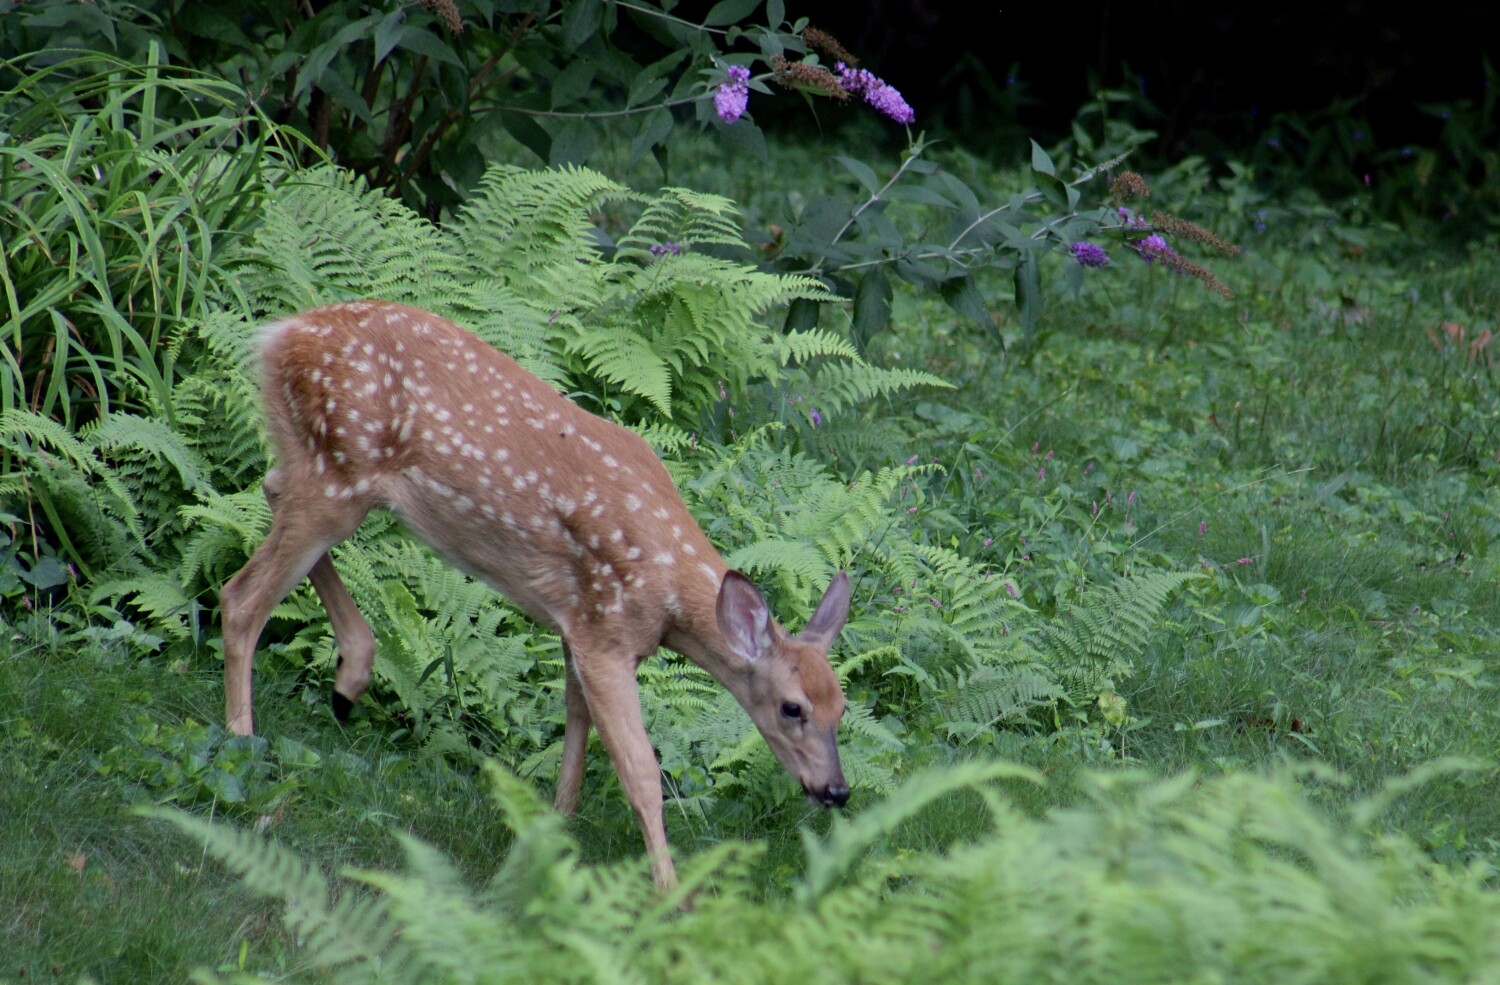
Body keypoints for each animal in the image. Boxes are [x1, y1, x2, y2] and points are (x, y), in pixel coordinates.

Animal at [219, 300, 852, 888]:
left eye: (840, 707)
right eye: (792, 707)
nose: (837, 790)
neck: (669, 596)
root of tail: (280, 334)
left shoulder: (578, 624)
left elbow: (575, 729)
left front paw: (550, 838)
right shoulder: (606, 634)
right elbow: (639, 770)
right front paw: (672, 894)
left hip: (317, 464)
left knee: (270, 489)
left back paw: (349, 679)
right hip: (339, 471)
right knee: (240, 597)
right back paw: (243, 749)